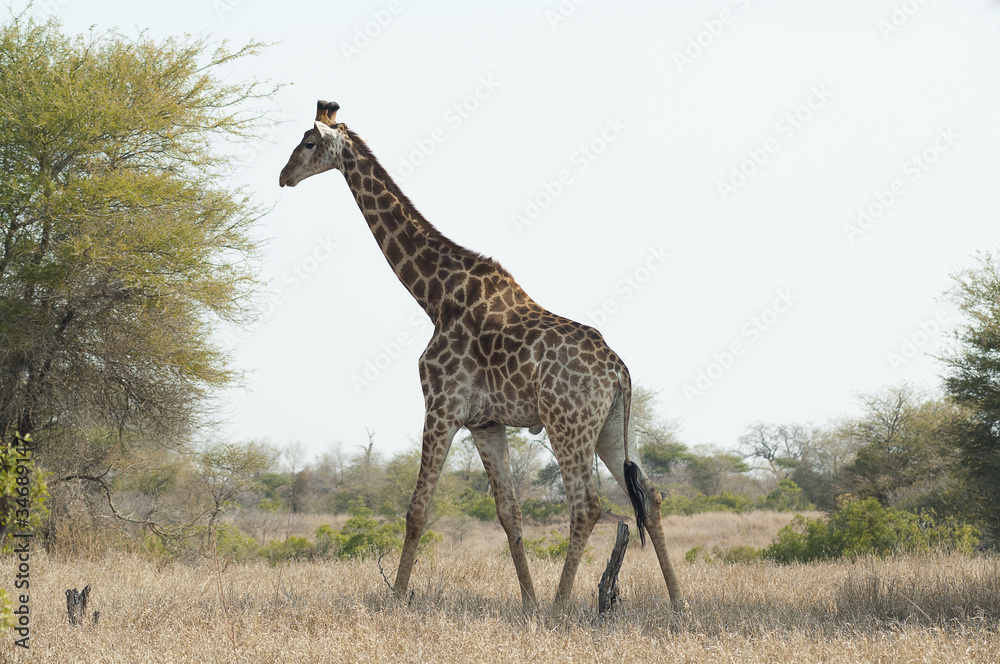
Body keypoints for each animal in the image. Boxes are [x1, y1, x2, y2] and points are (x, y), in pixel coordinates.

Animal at [279, 100, 682, 612]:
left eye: (309, 142)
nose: (284, 176)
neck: (434, 296)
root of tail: (619, 372)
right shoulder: (486, 422)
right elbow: (509, 514)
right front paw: (527, 603)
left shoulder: (441, 405)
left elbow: (417, 510)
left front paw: (396, 599)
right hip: (610, 428)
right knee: (651, 495)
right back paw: (679, 604)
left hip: (567, 423)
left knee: (587, 504)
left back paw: (560, 608)